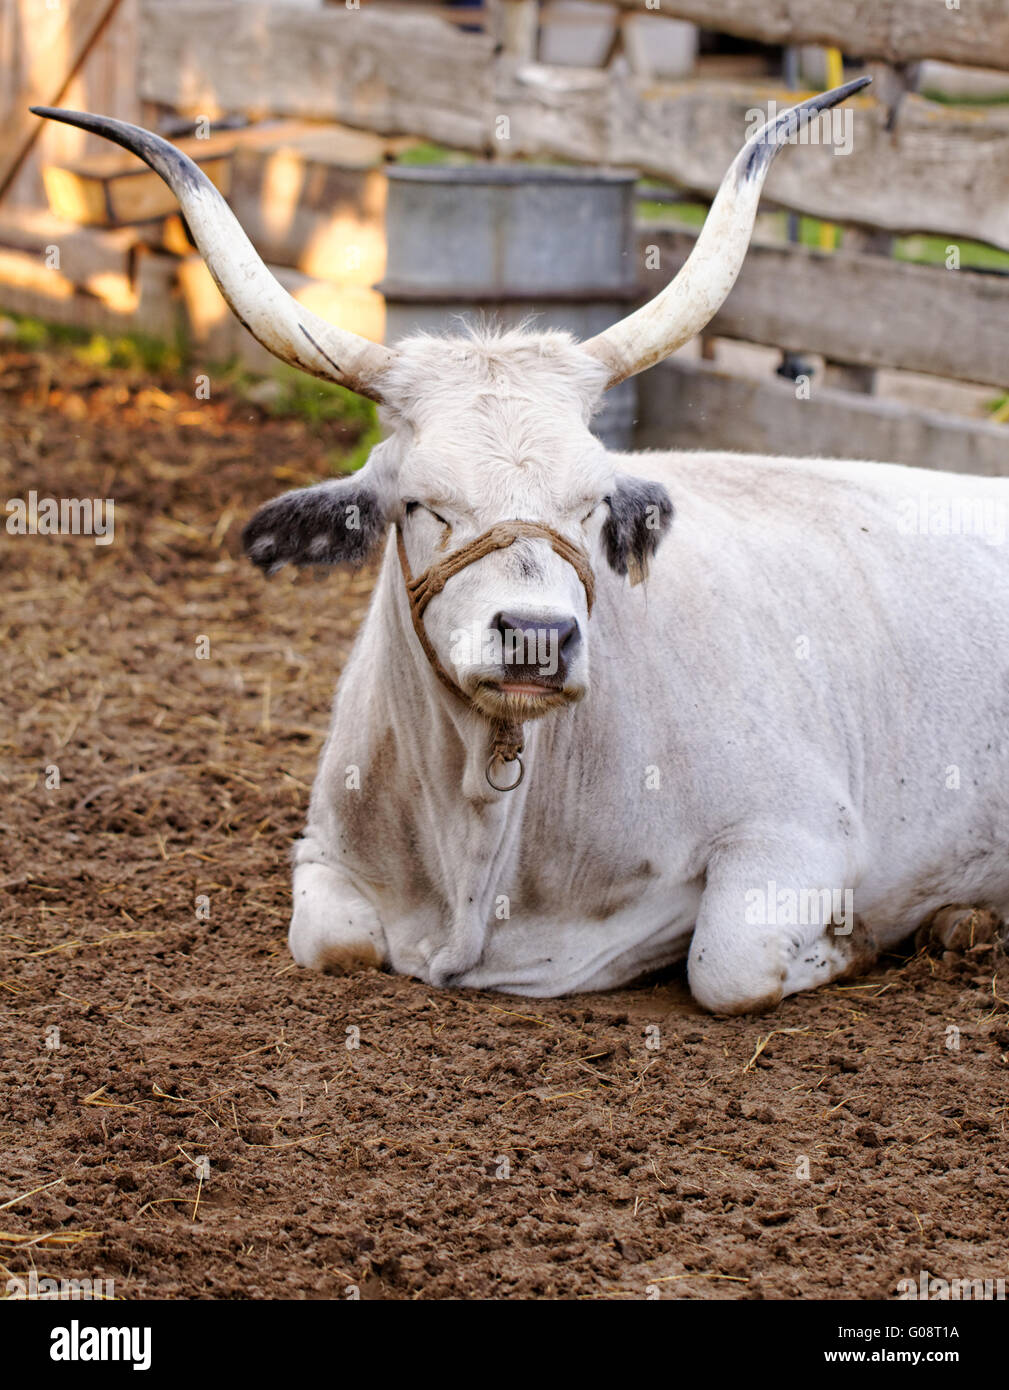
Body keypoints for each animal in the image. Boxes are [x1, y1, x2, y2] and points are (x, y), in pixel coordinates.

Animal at [37, 78, 1009, 1011]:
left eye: (591, 503)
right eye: (419, 503)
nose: (537, 637)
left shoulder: (795, 835)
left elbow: (726, 966)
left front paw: (852, 944)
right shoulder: (322, 853)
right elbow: (333, 942)